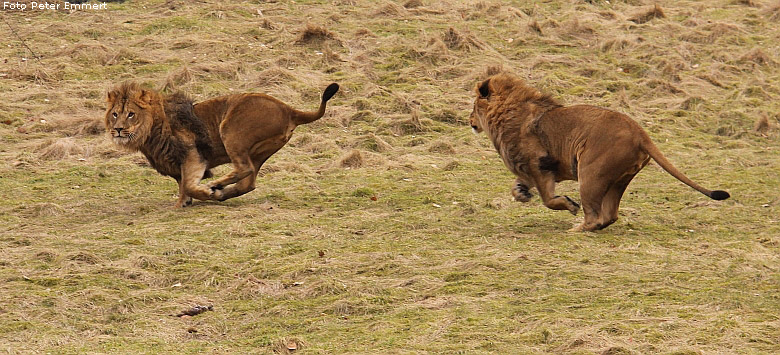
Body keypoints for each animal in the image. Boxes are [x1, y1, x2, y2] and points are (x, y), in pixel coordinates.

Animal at [103, 81, 338, 207]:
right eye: (115, 114)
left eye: (131, 114)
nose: (119, 129)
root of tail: (288, 109)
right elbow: (182, 185)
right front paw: (183, 203)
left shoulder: (193, 155)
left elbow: (188, 184)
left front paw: (203, 194)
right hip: (260, 151)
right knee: (248, 182)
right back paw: (222, 192)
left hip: (230, 131)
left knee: (244, 169)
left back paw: (216, 188)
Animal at [470, 73, 732, 232]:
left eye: (473, 107)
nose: (469, 120)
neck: (506, 113)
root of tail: (640, 133)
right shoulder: (528, 169)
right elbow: (517, 187)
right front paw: (521, 194)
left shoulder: (539, 164)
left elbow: (548, 200)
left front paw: (568, 205)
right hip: (619, 178)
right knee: (610, 215)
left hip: (590, 173)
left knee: (595, 216)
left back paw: (576, 229)